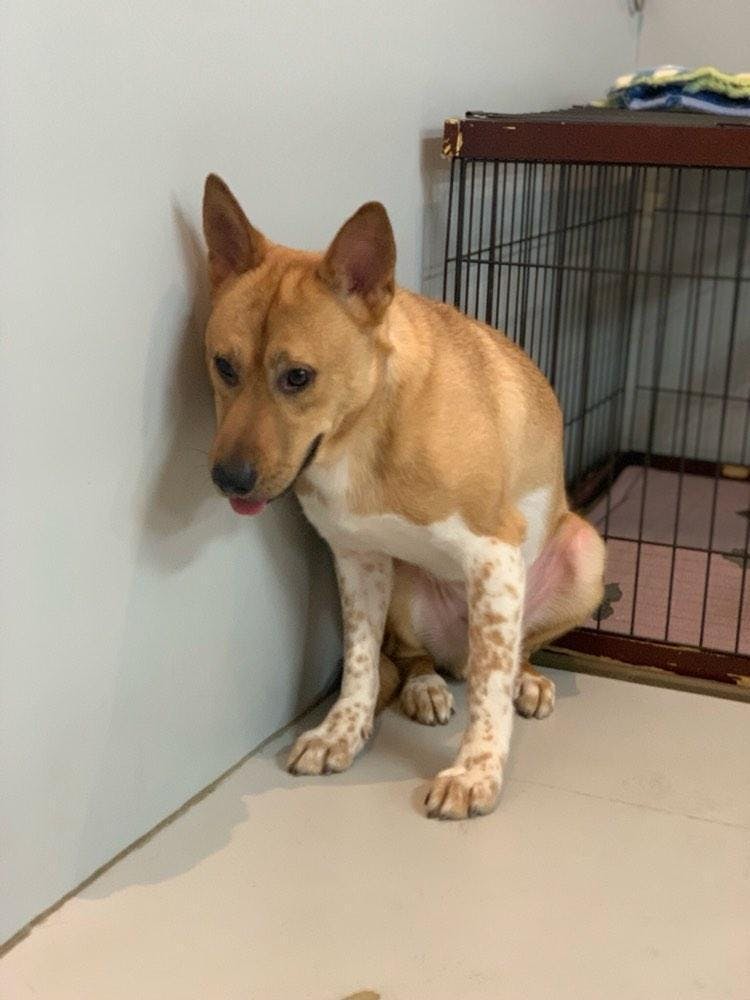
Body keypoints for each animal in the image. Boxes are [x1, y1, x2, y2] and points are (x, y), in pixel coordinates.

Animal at [202, 174, 605, 819]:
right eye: (223, 366)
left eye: (298, 377)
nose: (228, 480)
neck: (364, 431)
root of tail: (454, 654)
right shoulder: (357, 560)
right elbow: (362, 665)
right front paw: (342, 732)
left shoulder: (496, 556)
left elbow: (490, 687)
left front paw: (476, 770)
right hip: (405, 588)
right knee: (416, 657)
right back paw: (426, 687)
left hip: (585, 556)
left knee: (513, 649)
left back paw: (525, 678)